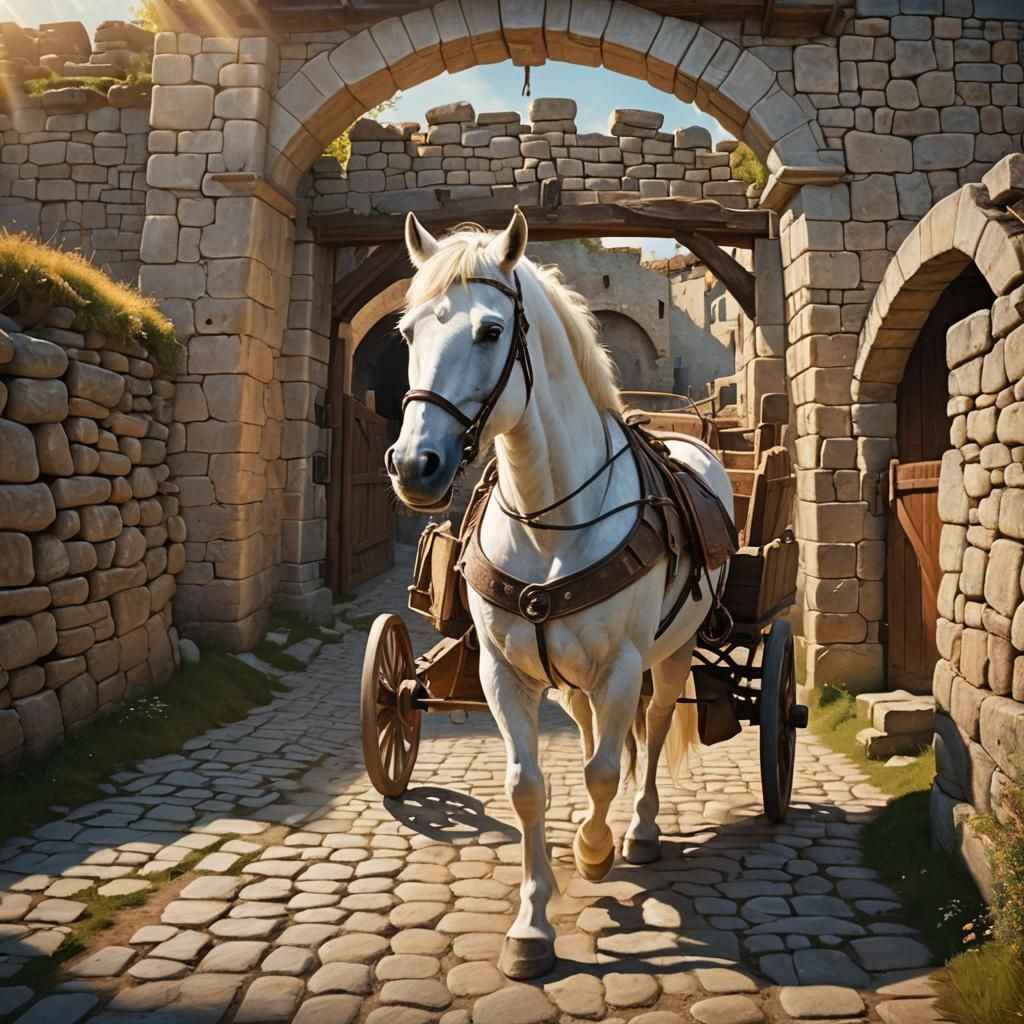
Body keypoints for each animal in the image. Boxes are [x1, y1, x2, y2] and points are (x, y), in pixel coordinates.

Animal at [386, 208, 735, 980]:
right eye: (407, 332)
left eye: (491, 331)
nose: (415, 464)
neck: (550, 518)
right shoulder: (503, 672)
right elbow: (529, 785)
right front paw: (531, 924)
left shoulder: (622, 667)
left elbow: (606, 769)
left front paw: (596, 850)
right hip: (572, 676)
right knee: (586, 731)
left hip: (671, 654)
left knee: (652, 726)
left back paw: (639, 830)